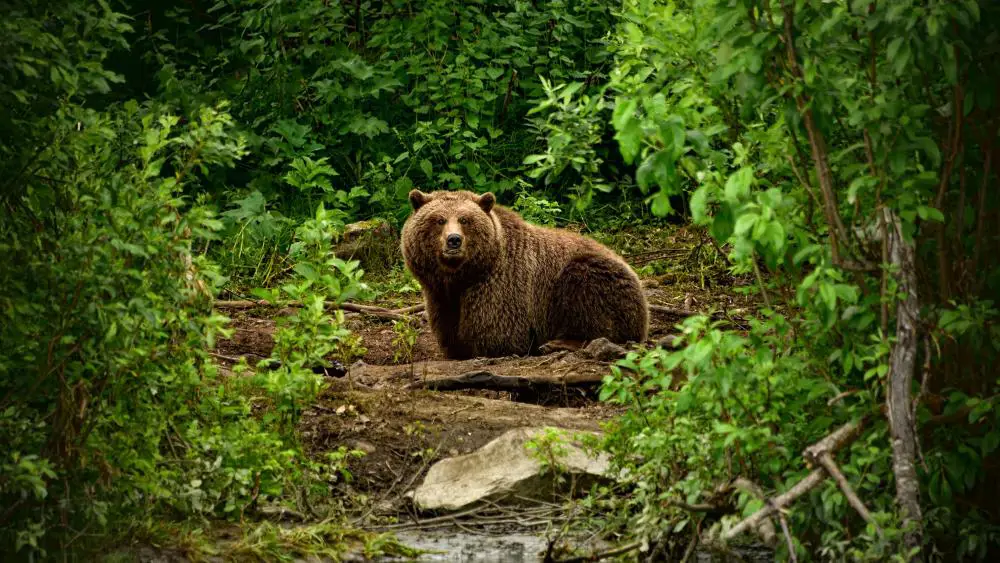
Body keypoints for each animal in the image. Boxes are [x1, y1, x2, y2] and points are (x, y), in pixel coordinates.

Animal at [398, 188, 648, 356]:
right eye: (439, 220)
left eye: (465, 219)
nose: (454, 240)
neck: (462, 276)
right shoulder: (440, 294)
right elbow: (449, 330)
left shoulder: (501, 285)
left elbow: (497, 333)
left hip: (591, 276)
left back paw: (558, 343)